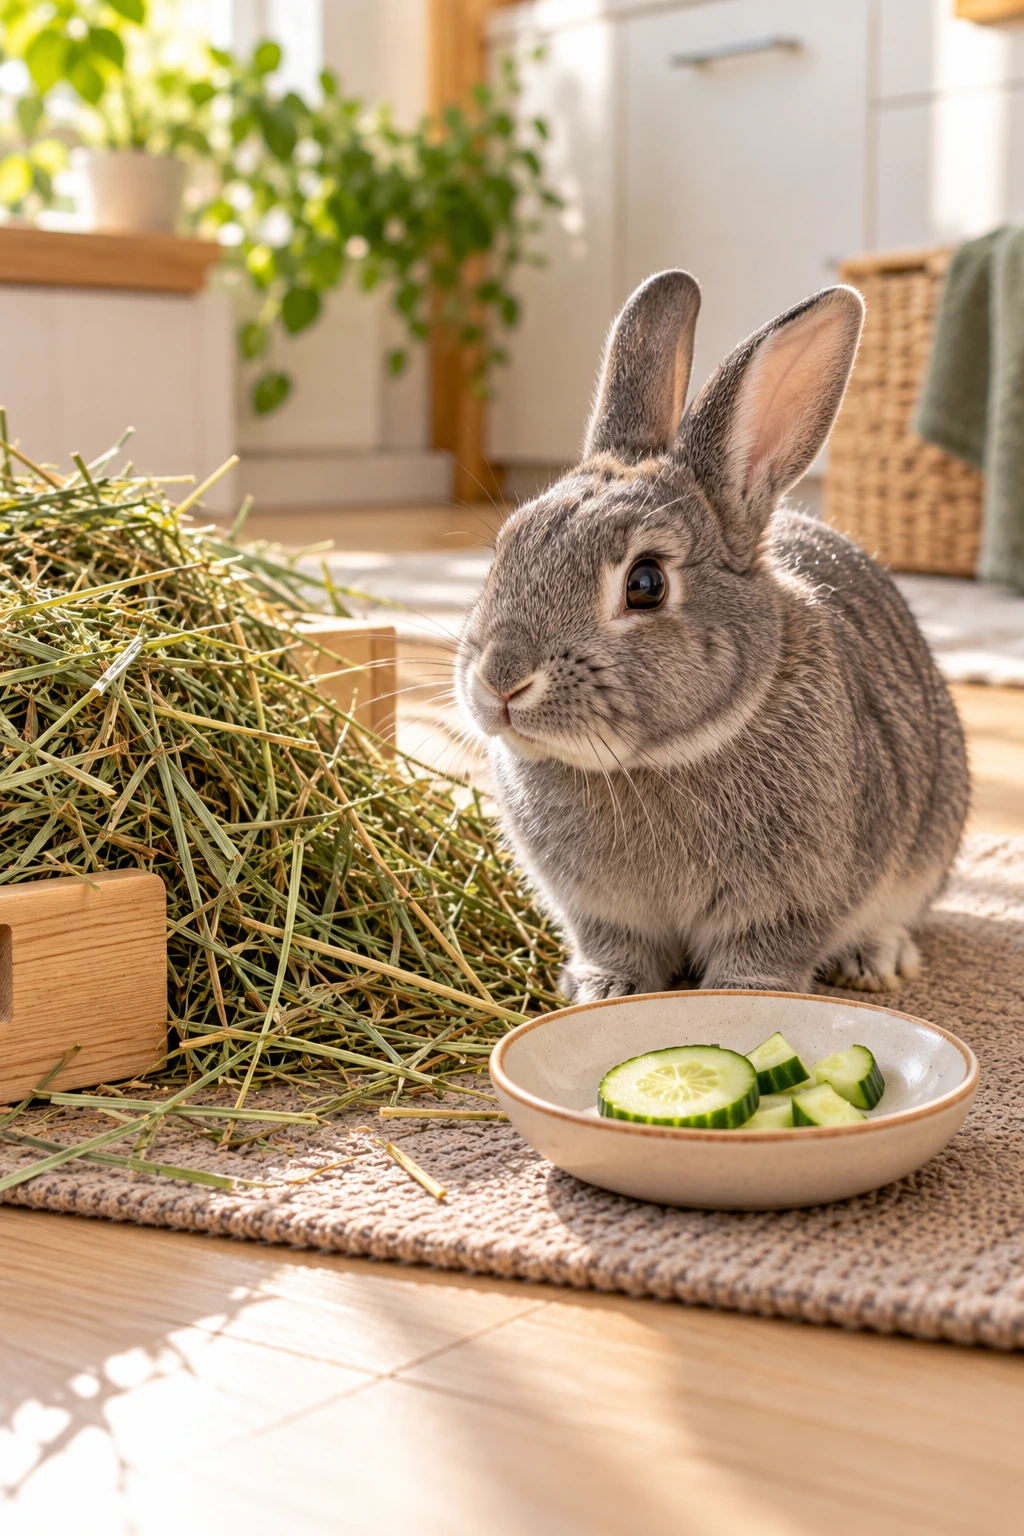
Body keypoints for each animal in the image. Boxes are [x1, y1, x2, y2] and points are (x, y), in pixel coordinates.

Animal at [455, 270, 969, 1002]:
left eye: (646, 584)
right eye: (506, 547)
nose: (500, 679)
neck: (650, 763)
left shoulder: (788, 904)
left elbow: (762, 958)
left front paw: (743, 996)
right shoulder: (599, 911)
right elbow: (615, 947)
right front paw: (603, 991)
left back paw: (878, 960)